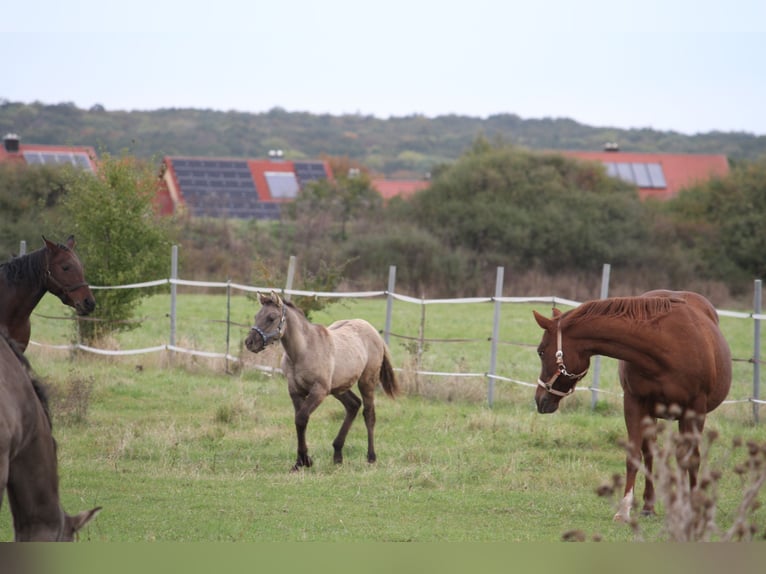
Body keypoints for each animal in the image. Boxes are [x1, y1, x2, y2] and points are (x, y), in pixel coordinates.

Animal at [246, 292, 402, 472]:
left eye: (271, 318)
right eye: (256, 316)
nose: (249, 343)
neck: (303, 351)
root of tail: (374, 331)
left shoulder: (319, 391)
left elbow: (301, 418)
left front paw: (304, 460)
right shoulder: (295, 391)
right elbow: (299, 421)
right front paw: (301, 462)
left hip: (366, 382)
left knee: (369, 414)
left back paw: (371, 457)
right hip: (338, 388)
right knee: (353, 405)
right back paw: (338, 455)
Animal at [536, 290, 732, 524]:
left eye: (540, 351)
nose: (539, 399)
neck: (667, 345)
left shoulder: (695, 410)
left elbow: (691, 459)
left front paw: (693, 510)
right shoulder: (634, 404)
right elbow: (634, 457)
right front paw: (624, 510)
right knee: (650, 454)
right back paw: (649, 506)